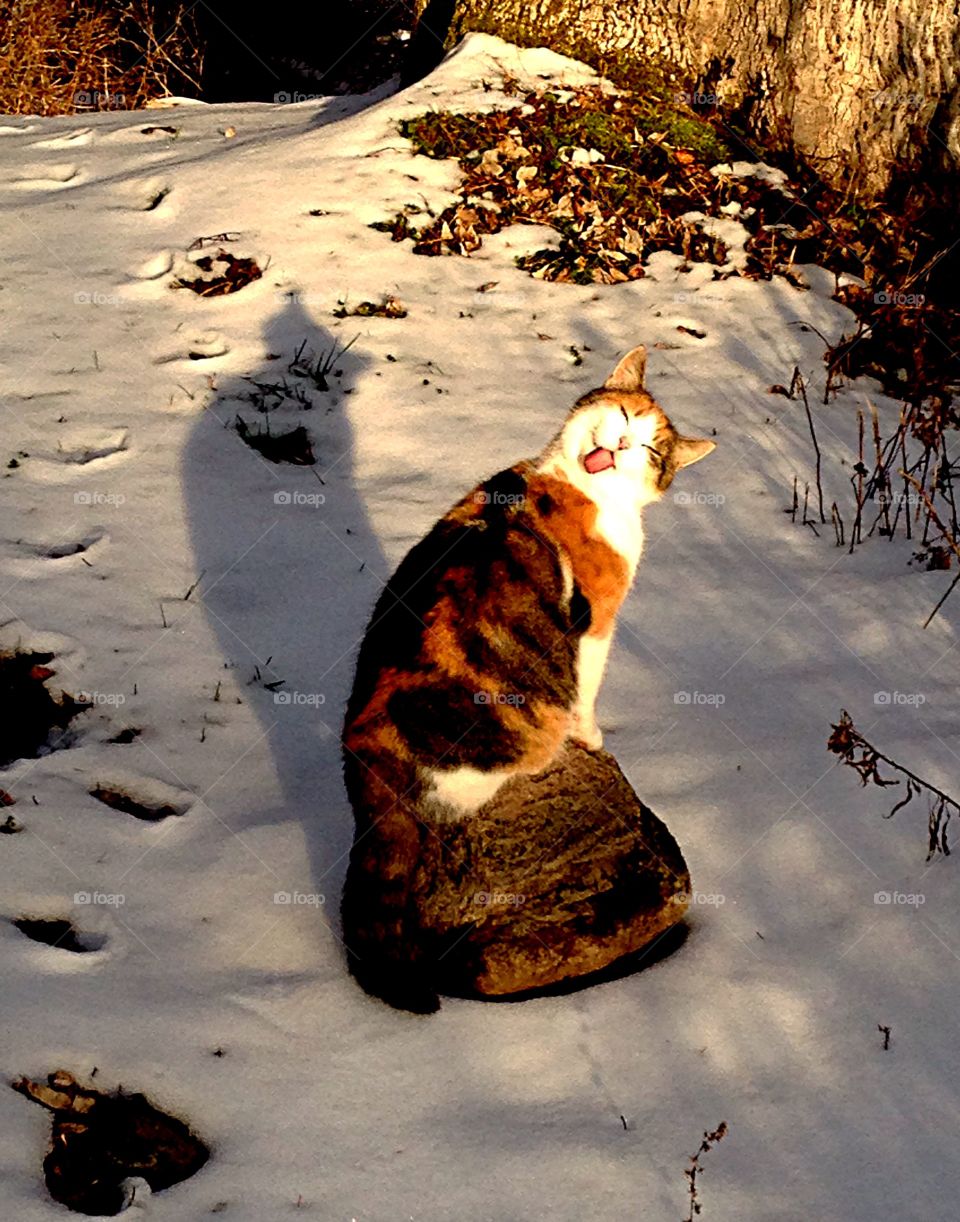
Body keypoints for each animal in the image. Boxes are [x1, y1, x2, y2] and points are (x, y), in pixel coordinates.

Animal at [341, 347, 708, 1011]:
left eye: (650, 450)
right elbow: (588, 691)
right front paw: (590, 737)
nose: (621, 443)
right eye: (624, 416)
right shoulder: (594, 627)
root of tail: (365, 753)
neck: (567, 484)